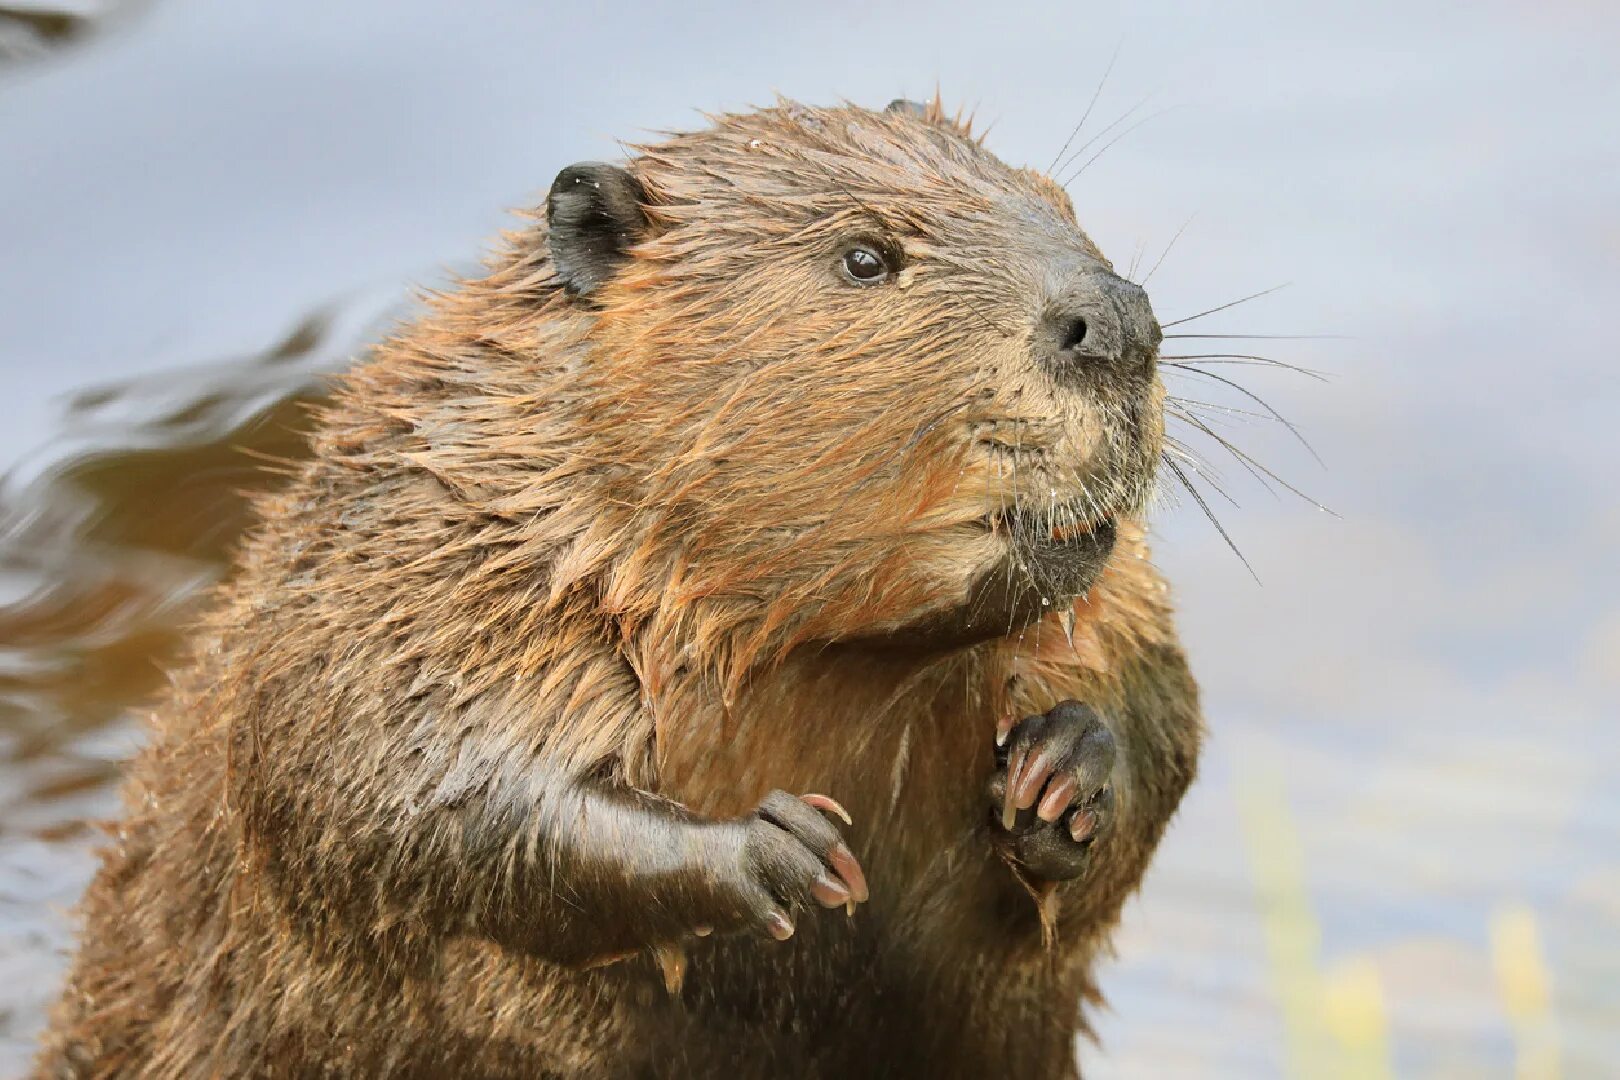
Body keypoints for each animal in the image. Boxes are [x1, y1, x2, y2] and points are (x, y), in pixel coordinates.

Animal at [38, 97, 1205, 1075]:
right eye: (866, 255)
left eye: (1060, 204)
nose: (1116, 321)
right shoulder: (423, 553)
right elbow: (396, 780)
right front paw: (784, 851)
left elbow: (1157, 701)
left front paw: (1062, 773)